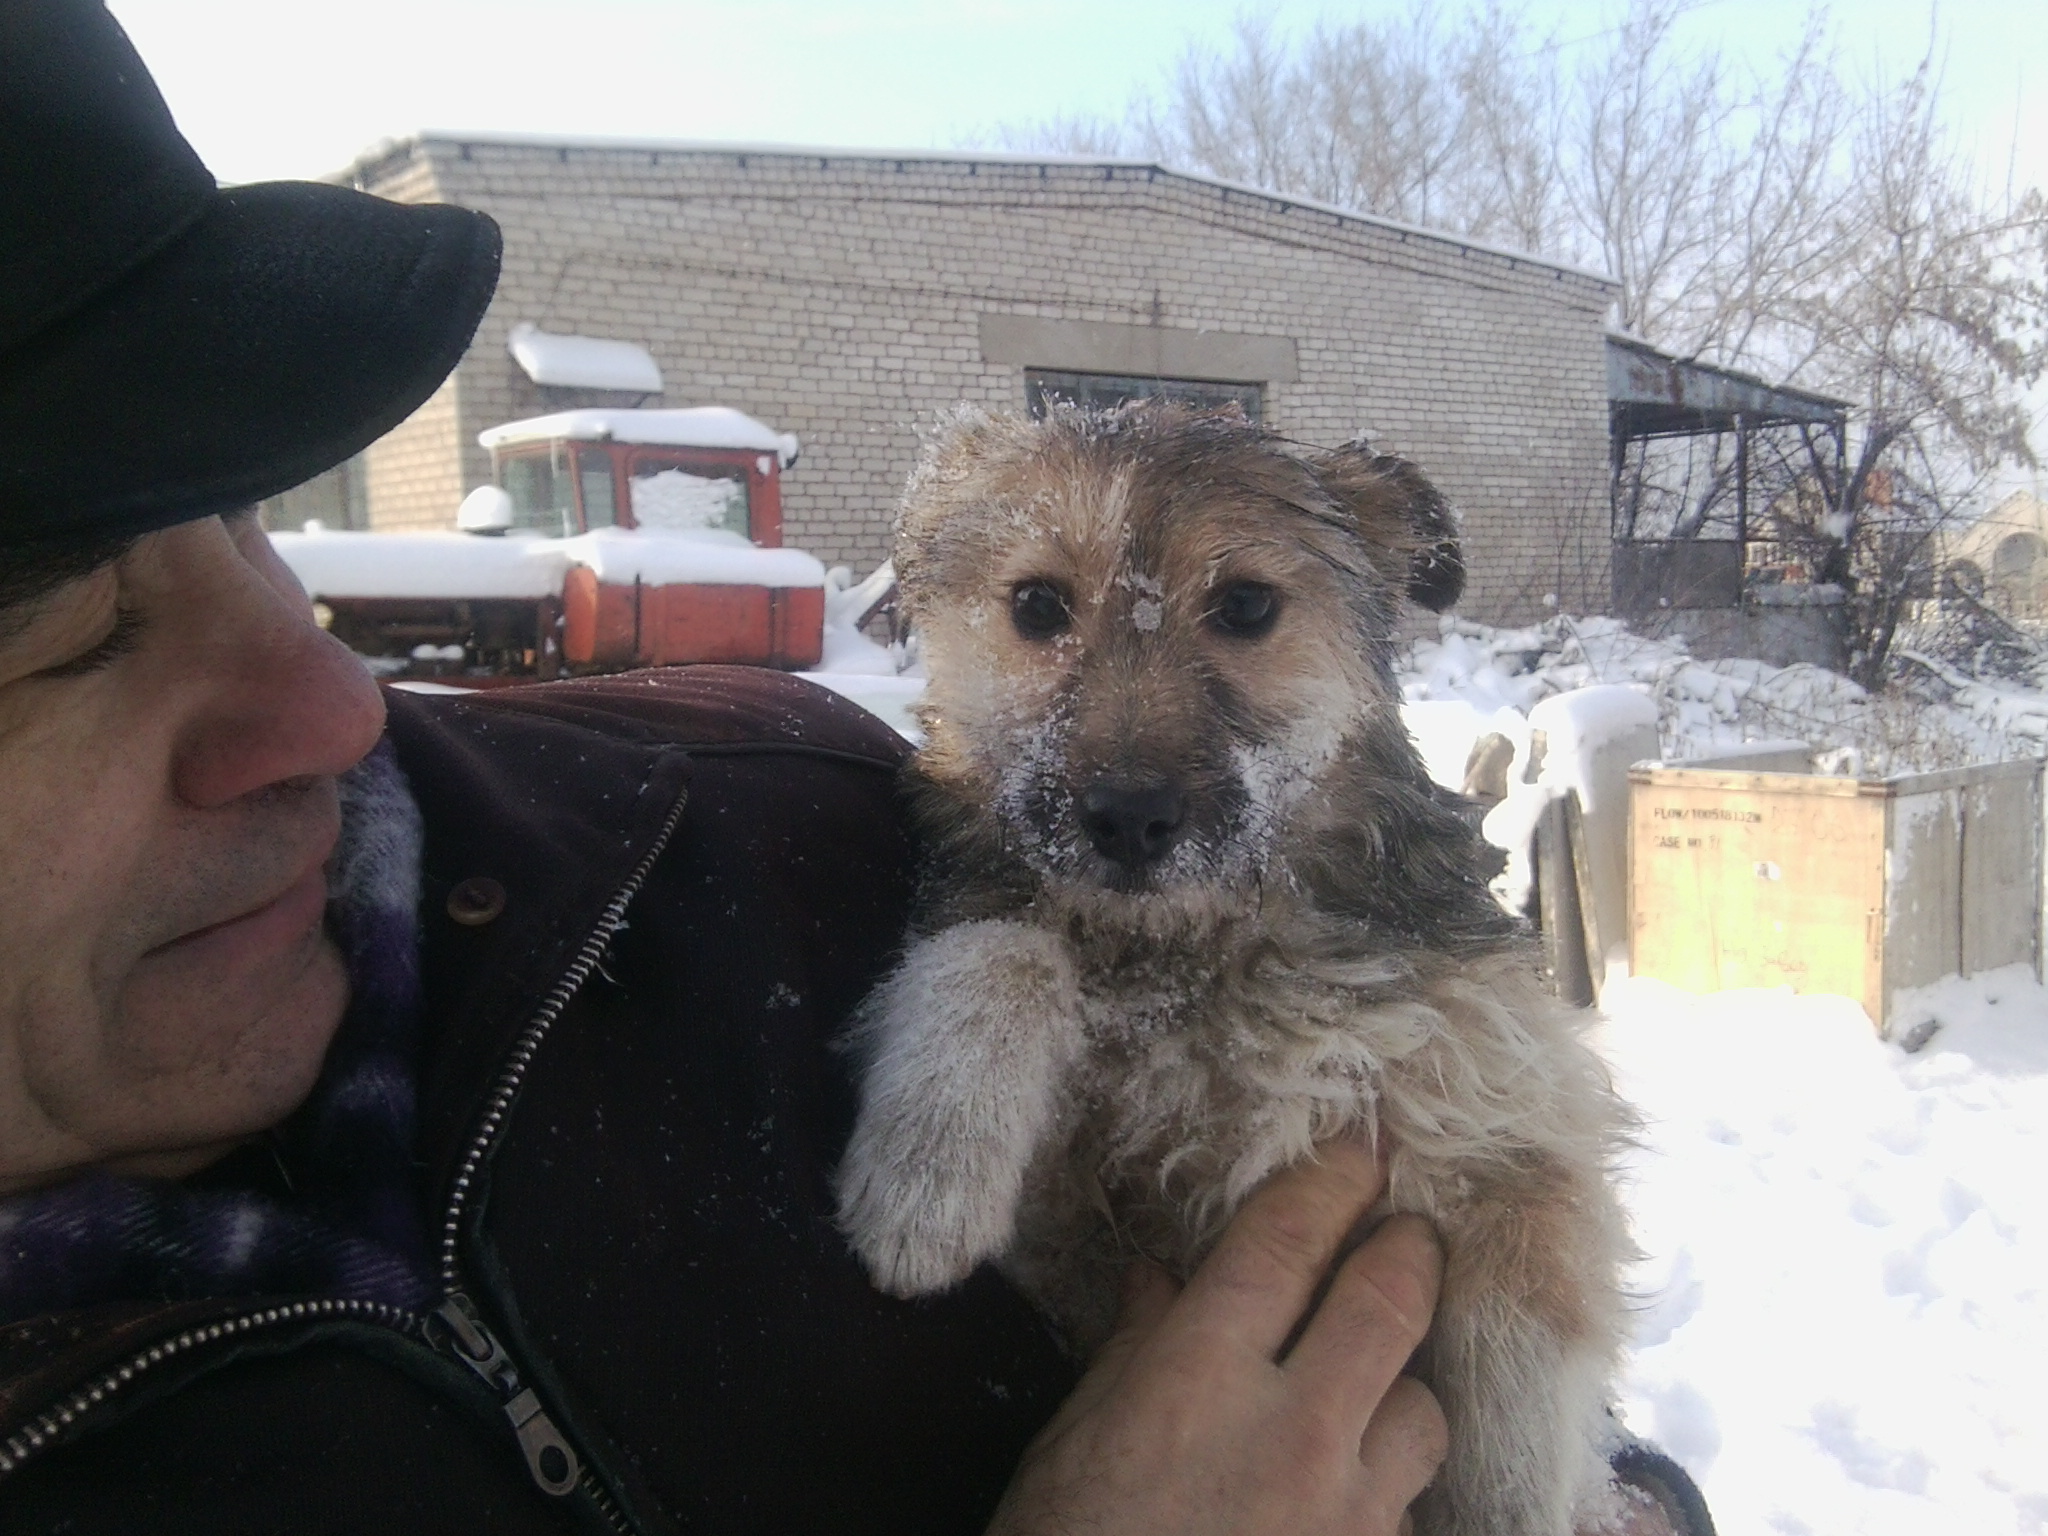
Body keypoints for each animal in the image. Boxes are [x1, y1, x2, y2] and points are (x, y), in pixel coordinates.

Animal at [834, 401, 1632, 1536]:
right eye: (1036, 605)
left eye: (1247, 604)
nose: (1128, 820)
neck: (1200, 951)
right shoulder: (1065, 1235)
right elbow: (1003, 948)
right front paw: (930, 1168)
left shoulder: (1515, 1138)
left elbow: (1512, 1398)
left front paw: (1511, 1506)